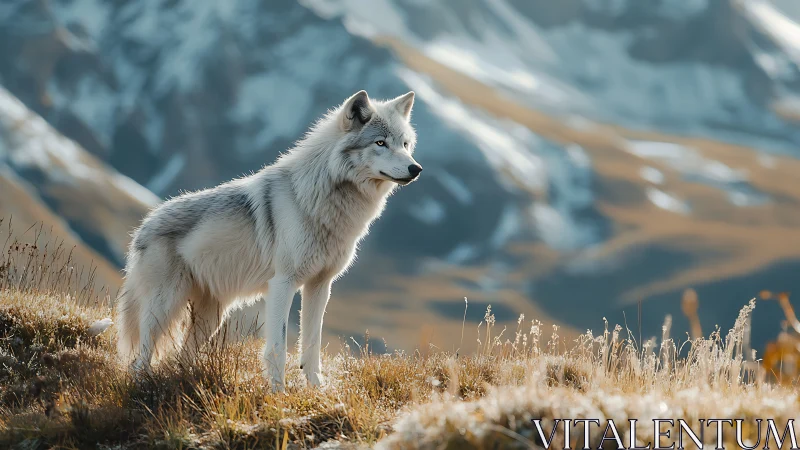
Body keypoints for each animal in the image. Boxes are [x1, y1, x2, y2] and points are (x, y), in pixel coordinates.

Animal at [116, 90, 421, 391]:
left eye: (405, 144)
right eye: (380, 143)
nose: (415, 168)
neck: (322, 197)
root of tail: (143, 225)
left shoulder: (320, 285)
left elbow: (312, 344)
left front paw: (317, 390)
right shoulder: (283, 284)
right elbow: (278, 346)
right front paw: (278, 393)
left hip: (211, 317)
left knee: (180, 357)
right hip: (165, 307)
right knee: (140, 358)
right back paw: (143, 387)